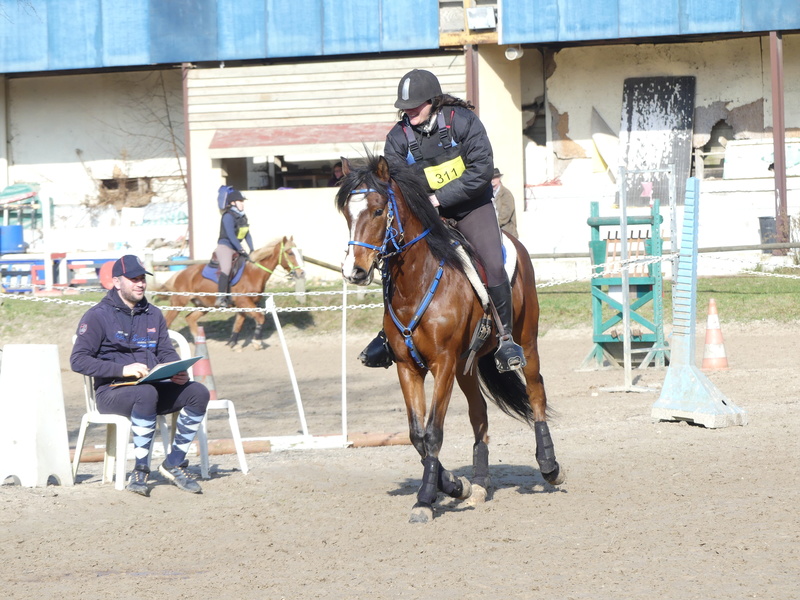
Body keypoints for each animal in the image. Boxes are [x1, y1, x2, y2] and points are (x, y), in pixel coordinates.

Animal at [162, 234, 304, 346]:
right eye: (290, 253)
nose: (301, 273)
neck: (253, 273)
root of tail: (180, 274)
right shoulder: (244, 302)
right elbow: (260, 317)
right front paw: (257, 342)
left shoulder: (244, 305)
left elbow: (239, 323)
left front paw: (233, 343)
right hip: (178, 303)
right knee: (167, 322)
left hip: (204, 305)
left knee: (190, 318)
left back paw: (199, 341)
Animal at [336, 157, 564, 524]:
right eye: (346, 213)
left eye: (378, 210)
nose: (354, 271)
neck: (415, 283)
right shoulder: (408, 367)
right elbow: (417, 435)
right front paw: (458, 486)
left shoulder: (441, 363)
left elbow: (433, 433)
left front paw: (425, 500)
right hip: (465, 366)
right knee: (479, 413)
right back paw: (481, 484)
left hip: (526, 340)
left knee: (536, 392)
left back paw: (550, 467)